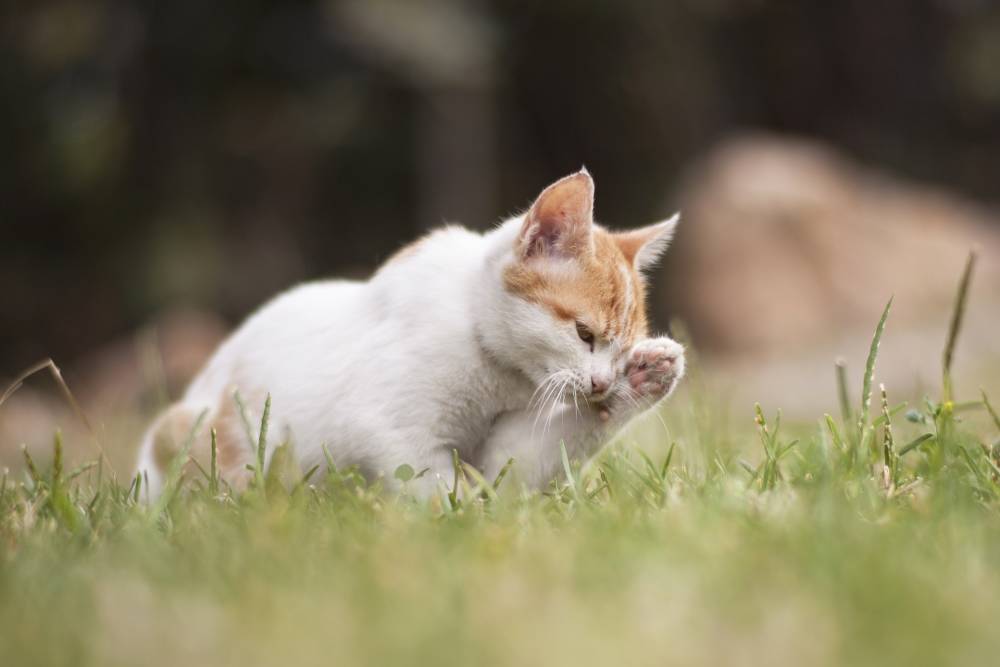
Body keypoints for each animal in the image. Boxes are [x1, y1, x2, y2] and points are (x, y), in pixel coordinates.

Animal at [137, 170, 684, 498]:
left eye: (620, 351)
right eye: (584, 334)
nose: (601, 383)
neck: (494, 371)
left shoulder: (506, 453)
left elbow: (517, 471)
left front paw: (642, 382)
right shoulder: (386, 427)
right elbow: (432, 483)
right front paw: (460, 520)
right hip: (197, 433)